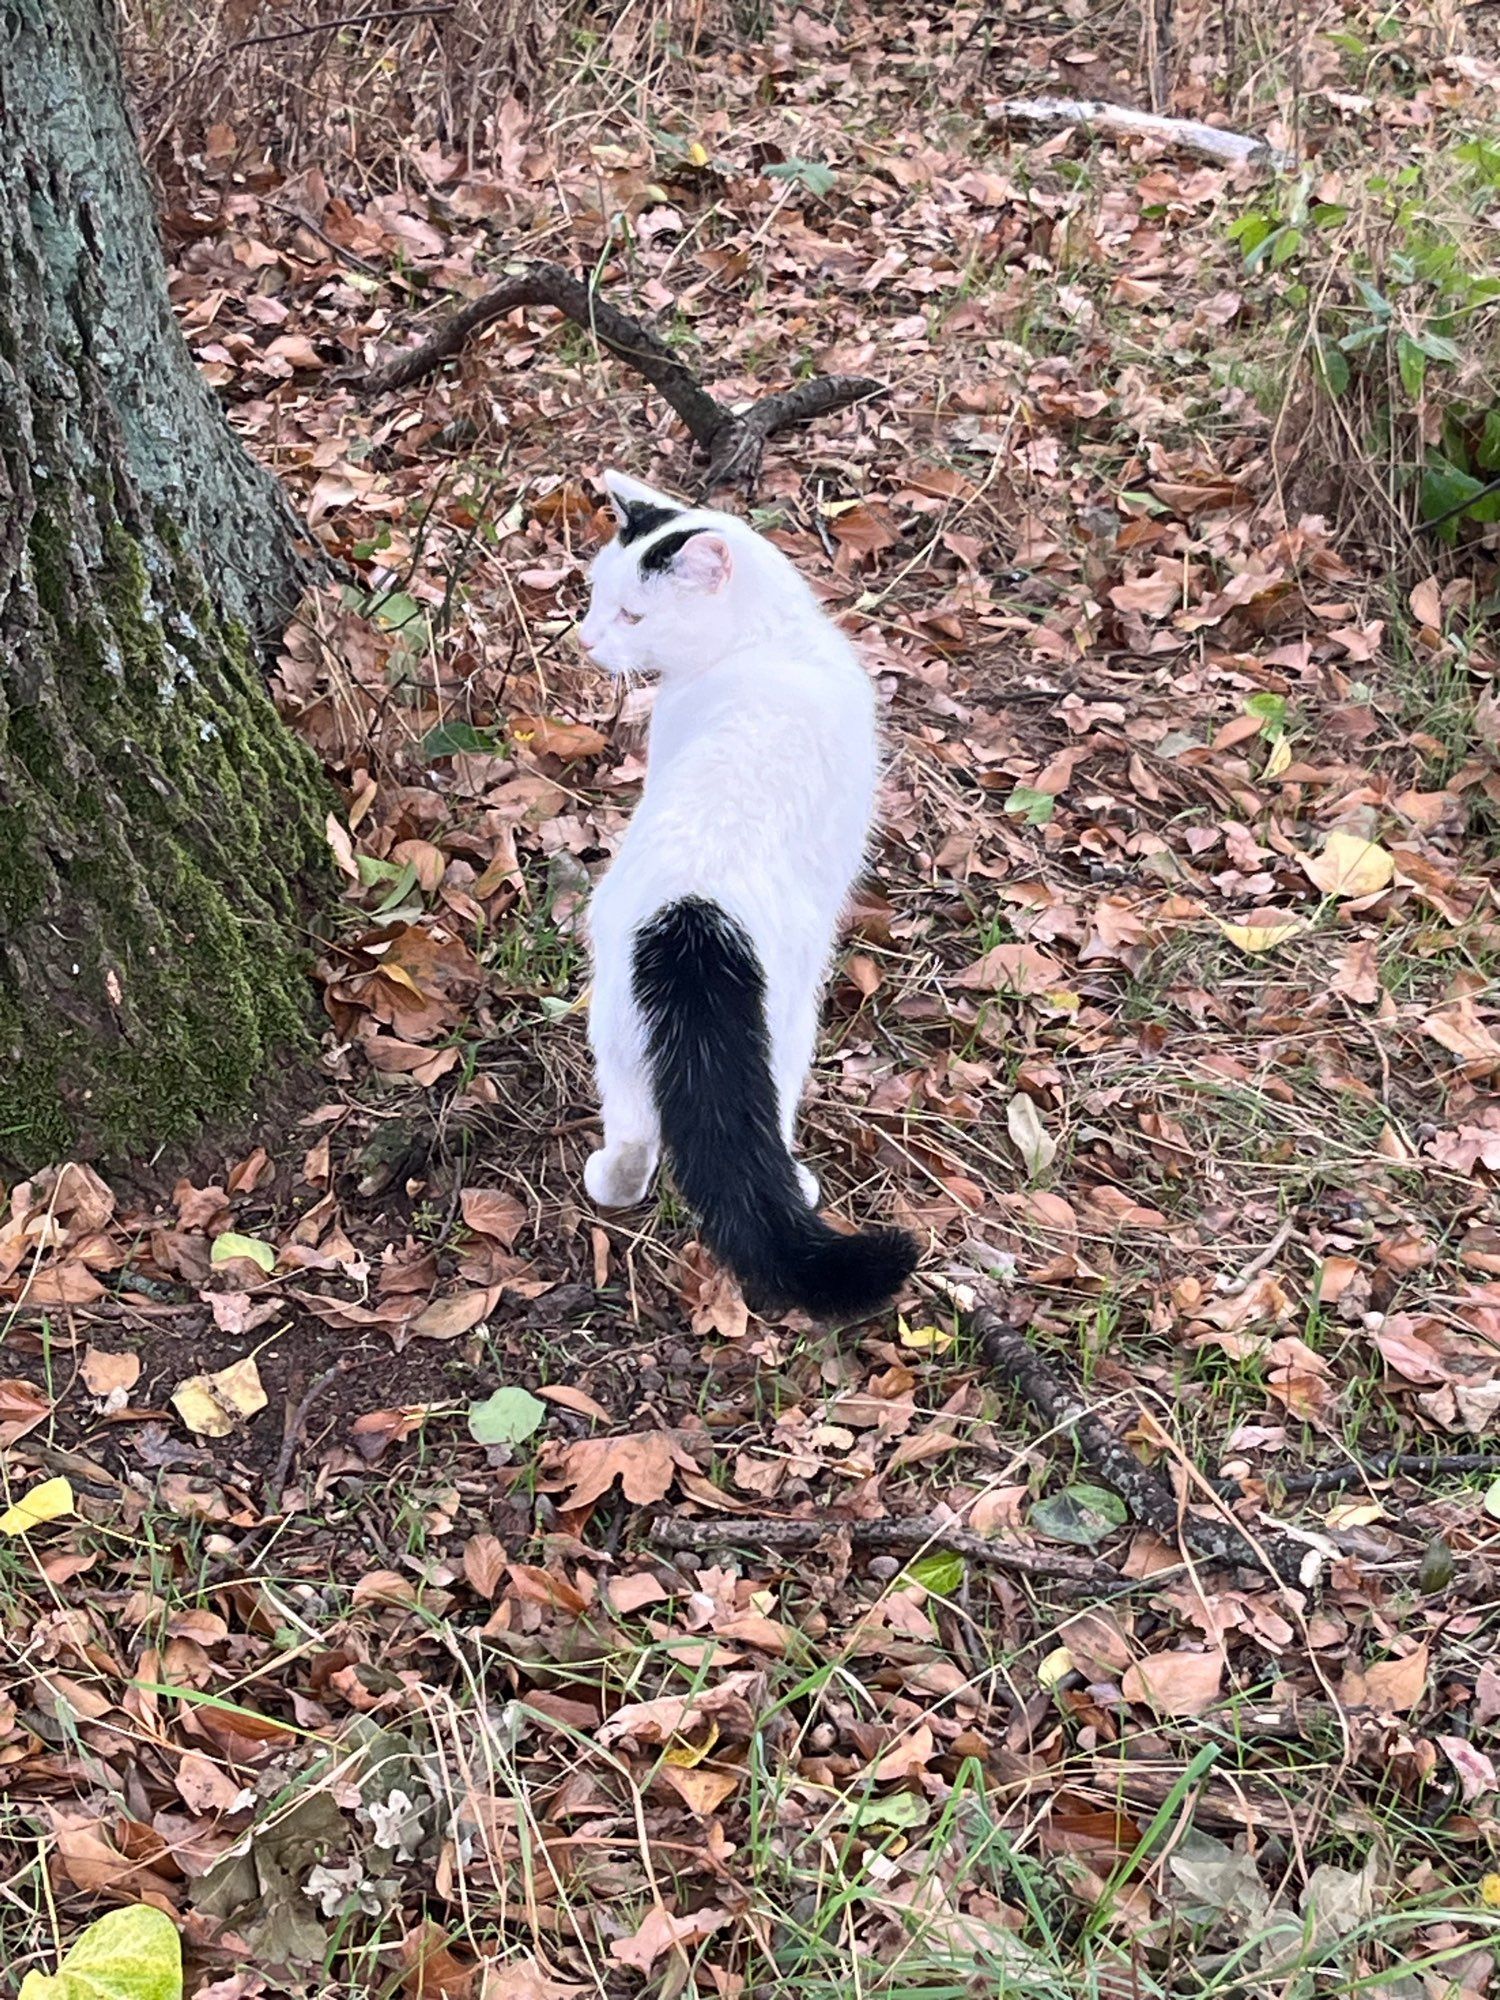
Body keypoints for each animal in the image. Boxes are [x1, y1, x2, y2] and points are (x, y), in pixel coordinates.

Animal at [580, 472, 924, 1328]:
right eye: (597, 596)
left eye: (631, 614)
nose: (587, 640)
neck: (772, 639)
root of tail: (692, 917)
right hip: (792, 1017)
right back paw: (797, 1182)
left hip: (616, 1024)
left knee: (634, 1133)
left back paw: (612, 1180)